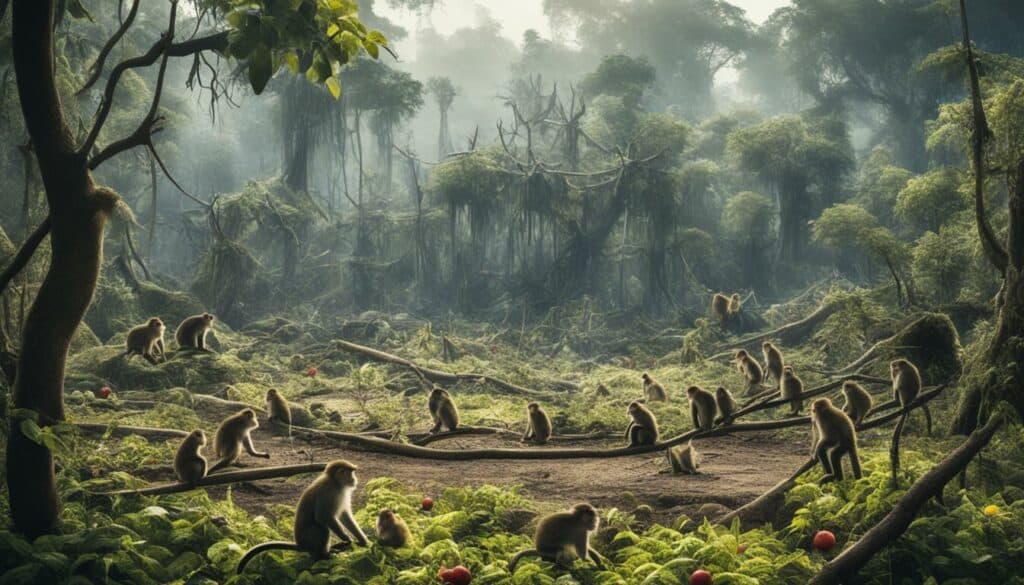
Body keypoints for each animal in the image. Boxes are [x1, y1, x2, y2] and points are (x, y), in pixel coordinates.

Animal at [237, 460, 368, 572]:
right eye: (350, 473)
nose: (355, 479)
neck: (335, 481)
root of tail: (301, 544)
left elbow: (344, 516)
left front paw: (363, 540)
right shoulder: (329, 491)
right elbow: (323, 517)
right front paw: (347, 539)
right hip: (308, 538)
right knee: (320, 528)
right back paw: (323, 556)